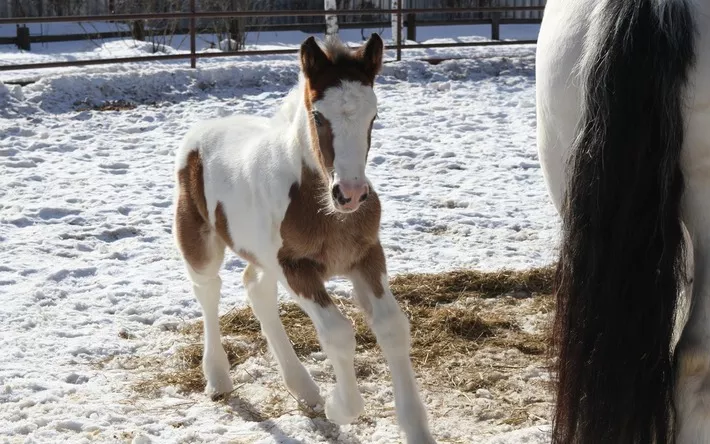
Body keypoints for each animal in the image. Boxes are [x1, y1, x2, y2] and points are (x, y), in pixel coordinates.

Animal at [175, 34, 436, 444]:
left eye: (374, 116)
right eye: (318, 116)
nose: (351, 194)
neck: (321, 206)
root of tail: (205, 129)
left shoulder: (366, 256)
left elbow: (392, 327)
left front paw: (415, 428)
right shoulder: (295, 267)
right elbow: (338, 333)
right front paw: (339, 407)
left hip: (261, 254)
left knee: (256, 288)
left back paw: (303, 388)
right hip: (199, 241)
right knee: (208, 290)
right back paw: (218, 378)